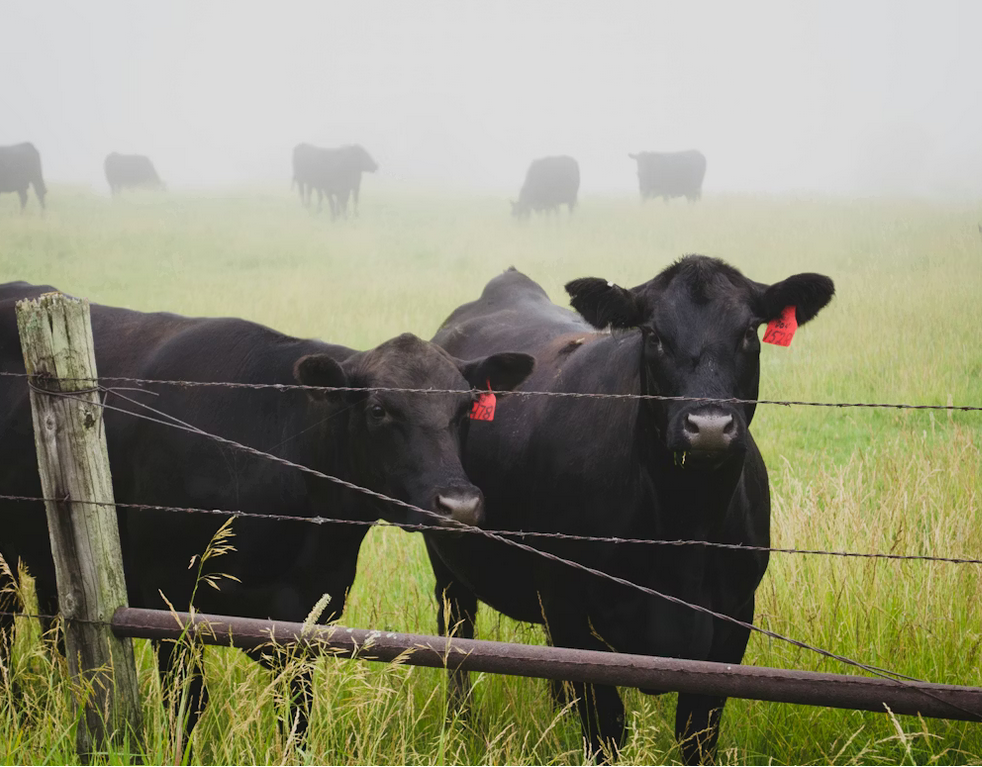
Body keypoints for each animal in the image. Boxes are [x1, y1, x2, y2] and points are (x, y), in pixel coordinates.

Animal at [0, 281, 533, 739]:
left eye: (465, 409)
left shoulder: (305, 620)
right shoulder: (164, 600)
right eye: (379, 410)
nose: (459, 505)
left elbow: (296, 717)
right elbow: (188, 706)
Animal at [427, 256, 834, 763]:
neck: (683, 530)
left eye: (747, 332)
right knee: (457, 639)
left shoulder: (734, 620)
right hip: (449, 561)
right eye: (654, 335)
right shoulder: (571, 612)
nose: (710, 426)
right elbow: (604, 727)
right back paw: (460, 725)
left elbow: (697, 732)